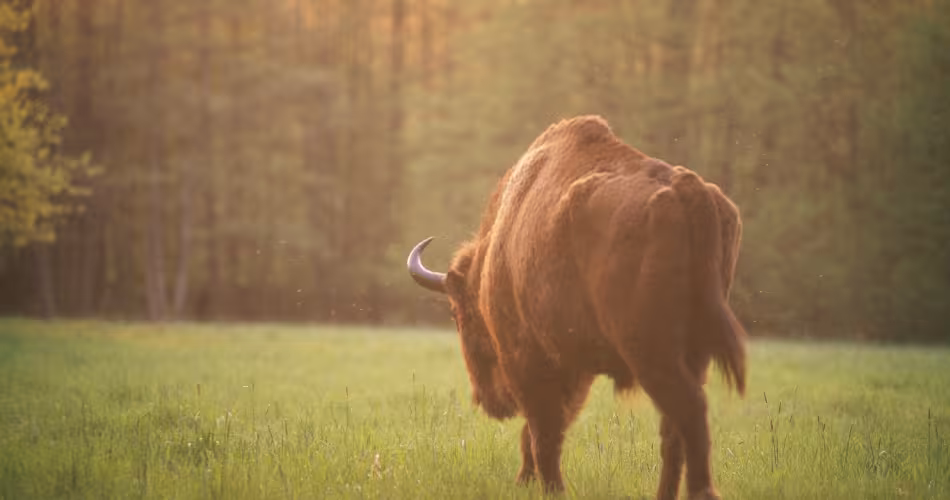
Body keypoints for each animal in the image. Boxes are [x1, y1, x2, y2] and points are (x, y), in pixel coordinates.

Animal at [407, 115, 746, 500]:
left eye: (458, 313)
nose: (488, 401)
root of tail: (686, 188)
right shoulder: (573, 368)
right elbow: (546, 429)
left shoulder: (529, 360)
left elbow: (543, 432)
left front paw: (547, 486)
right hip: (695, 353)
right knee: (674, 431)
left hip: (651, 353)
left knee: (689, 412)